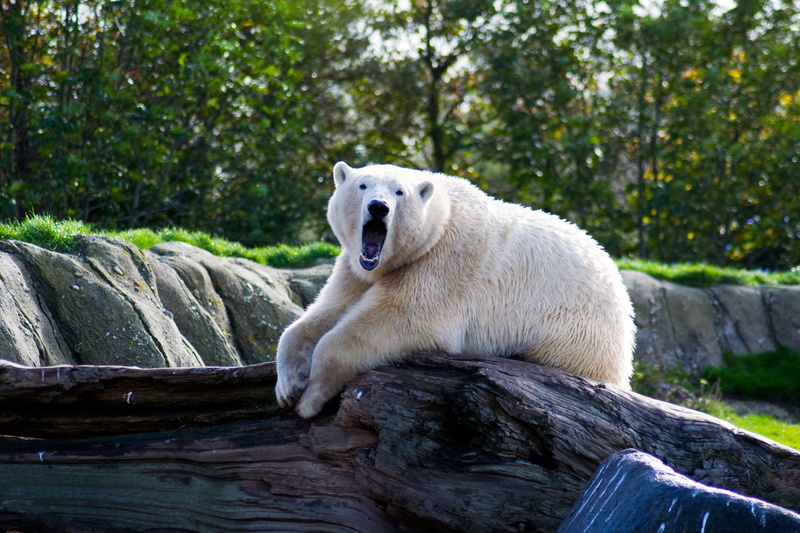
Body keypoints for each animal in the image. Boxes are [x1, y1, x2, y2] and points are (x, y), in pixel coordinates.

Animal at [276, 162, 636, 418]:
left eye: (399, 192)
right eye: (362, 185)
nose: (378, 207)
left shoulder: (445, 262)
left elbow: (399, 318)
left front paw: (310, 397)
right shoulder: (356, 271)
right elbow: (325, 313)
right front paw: (288, 385)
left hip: (577, 331)